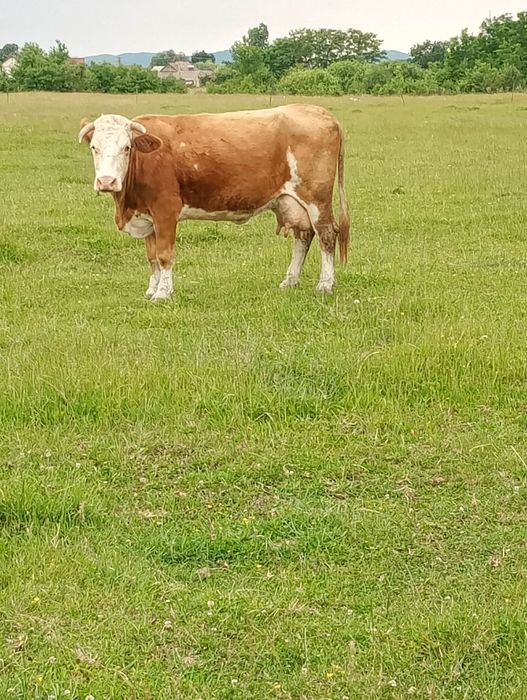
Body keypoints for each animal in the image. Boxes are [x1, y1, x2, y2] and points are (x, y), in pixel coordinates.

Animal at [78, 105, 349, 301]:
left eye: (126, 147)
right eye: (94, 147)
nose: (106, 181)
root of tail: (318, 110)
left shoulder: (165, 211)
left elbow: (165, 255)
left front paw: (163, 293)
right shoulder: (147, 216)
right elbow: (152, 257)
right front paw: (152, 289)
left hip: (316, 199)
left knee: (326, 235)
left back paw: (325, 284)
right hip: (291, 202)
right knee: (303, 236)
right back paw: (290, 280)